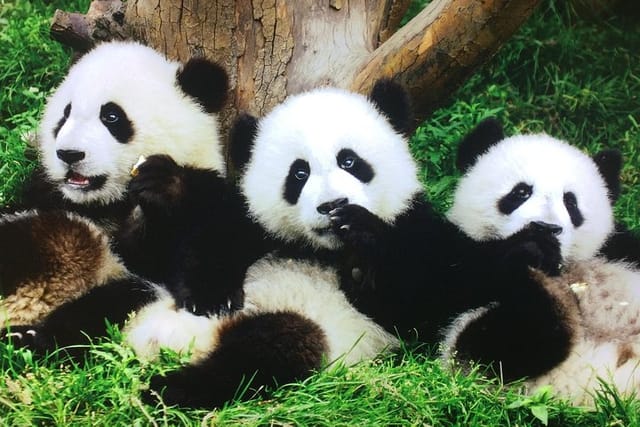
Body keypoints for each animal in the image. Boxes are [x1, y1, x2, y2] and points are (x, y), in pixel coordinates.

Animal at [442, 118, 640, 406]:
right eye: (521, 192)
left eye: (570, 201)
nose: (546, 227)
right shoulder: (457, 258)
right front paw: (529, 251)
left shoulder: (619, 248)